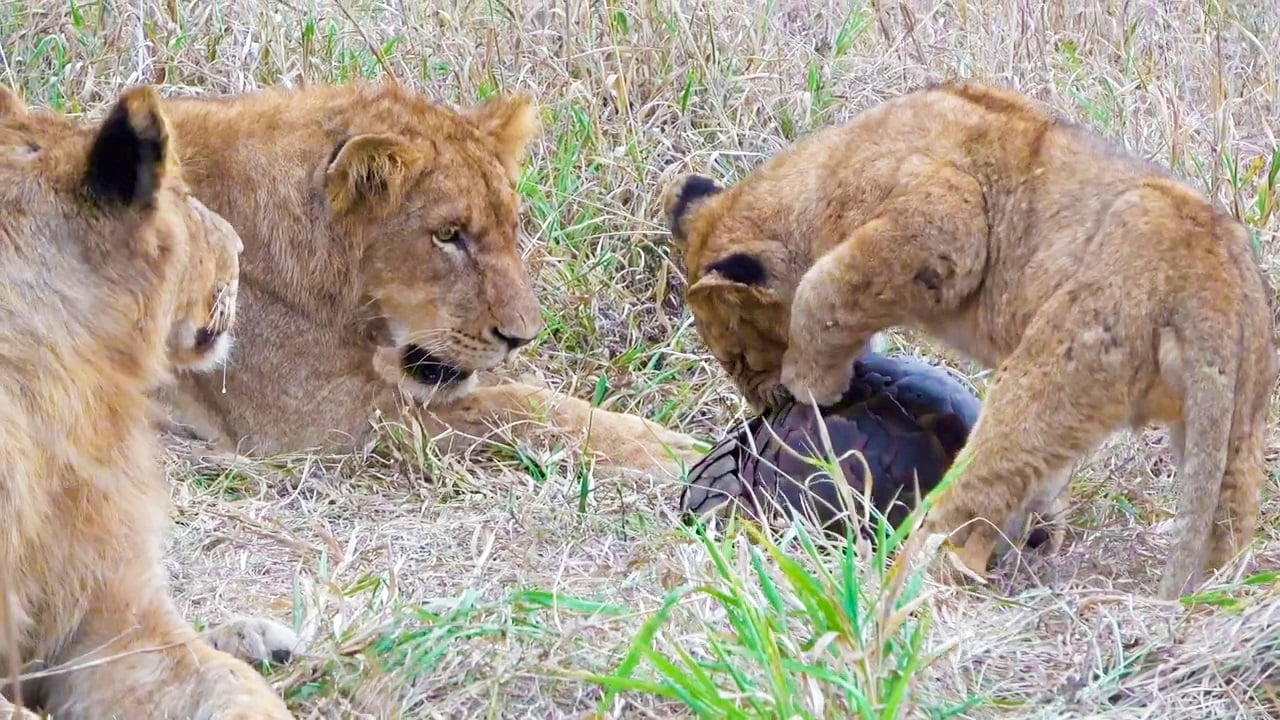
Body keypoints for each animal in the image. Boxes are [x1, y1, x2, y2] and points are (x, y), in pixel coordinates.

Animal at [152, 81, 702, 476]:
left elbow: (523, 391)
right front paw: (675, 454)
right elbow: (510, 406)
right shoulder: (316, 424)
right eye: (447, 235)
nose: (522, 338)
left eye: (512, 227)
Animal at [660, 81, 1278, 600]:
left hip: (1045, 379)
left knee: (971, 509)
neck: (820, 176)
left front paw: (813, 384)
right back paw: (1220, 595)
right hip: (1234, 422)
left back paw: (909, 583)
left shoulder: (946, 217)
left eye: (741, 357)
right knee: (1228, 517)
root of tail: (1210, 284)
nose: (771, 408)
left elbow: (822, 290)